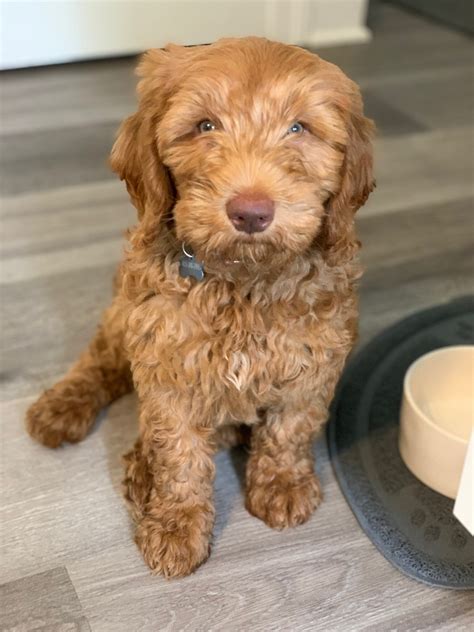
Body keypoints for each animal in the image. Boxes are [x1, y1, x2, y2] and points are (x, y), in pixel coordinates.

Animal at [26, 38, 374, 576]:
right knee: (100, 362)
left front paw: (282, 484)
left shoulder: (315, 354)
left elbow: (291, 426)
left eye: (299, 128)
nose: (251, 211)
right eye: (205, 126)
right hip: (123, 314)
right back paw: (71, 415)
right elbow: (178, 452)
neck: (243, 280)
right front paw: (176, 525)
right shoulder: (165, 358)